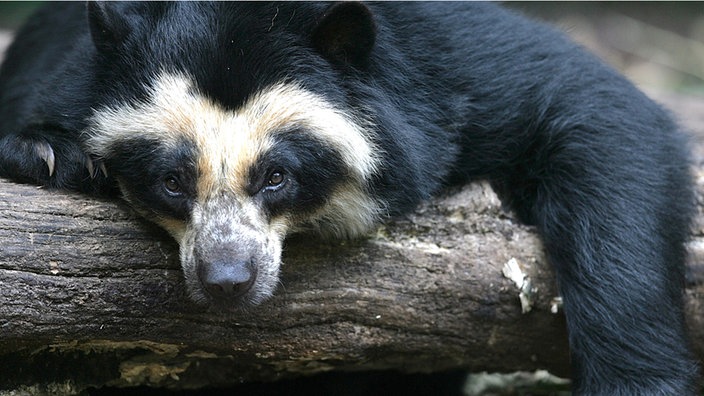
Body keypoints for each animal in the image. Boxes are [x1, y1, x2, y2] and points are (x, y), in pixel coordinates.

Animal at [0, 1, 696, 394]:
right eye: (173, 179)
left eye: (276, 175)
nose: (227, 280)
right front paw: (49, 152)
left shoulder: (453, 63)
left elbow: (598, 115)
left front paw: (641, 382)